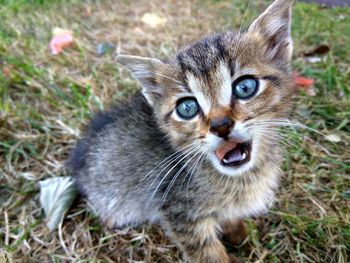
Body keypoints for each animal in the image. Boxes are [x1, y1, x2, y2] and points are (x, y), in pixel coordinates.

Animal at [66, 0, 296, 262]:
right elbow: (207, 253)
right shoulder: (178, 212)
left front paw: (238, 231)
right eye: (187, 108)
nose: (221, 125)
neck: (240, 177)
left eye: (245, 87)